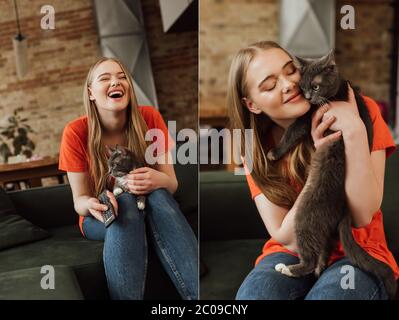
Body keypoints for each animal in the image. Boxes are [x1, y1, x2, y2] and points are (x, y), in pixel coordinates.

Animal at [268, 51, 396, 298]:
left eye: (316, 86)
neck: (338, 89)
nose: (308, 97)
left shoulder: (310, 116)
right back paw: (318, 267)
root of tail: (344, 207)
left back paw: (288, 268)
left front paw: (273, 153)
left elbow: (292, 130)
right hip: (324, 228)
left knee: (309, 257)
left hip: (306, 215)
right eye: (302, 86)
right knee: (322, 249)